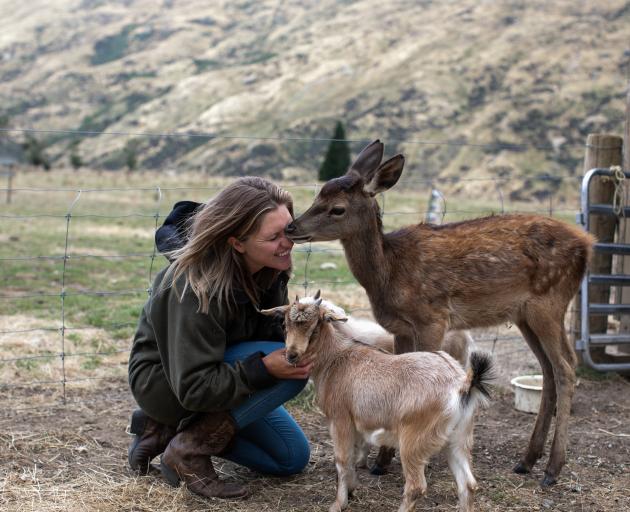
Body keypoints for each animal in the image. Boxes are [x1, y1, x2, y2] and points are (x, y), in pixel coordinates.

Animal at [288, 138, 596, 486]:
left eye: (337, 208)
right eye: (319, 195)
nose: (291, 227)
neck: (388, 274)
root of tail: (588, 245)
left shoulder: (432, 317)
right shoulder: (399, 328)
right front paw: (382, 460)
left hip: (550, 302)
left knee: (566, 367)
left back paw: (552, 468)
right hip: (525, 315)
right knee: (548, 370)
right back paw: (527, 460)